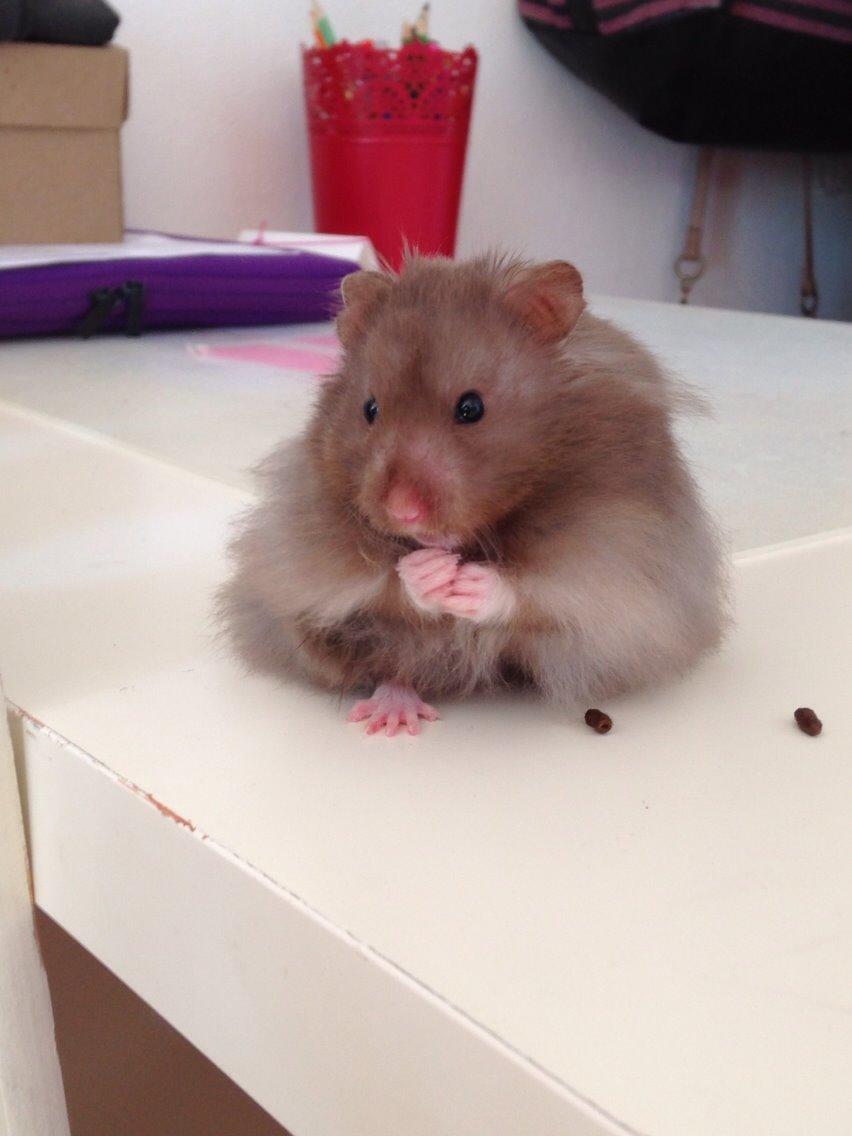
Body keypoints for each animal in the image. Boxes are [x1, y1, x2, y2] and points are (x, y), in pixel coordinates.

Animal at [219, 255, 727, 736]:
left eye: (472, 408)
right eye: (370, 409)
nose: (403, 511)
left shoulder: (614, 558)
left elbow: (539, 593)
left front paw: (466, 583)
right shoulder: (305, 554)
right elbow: (378, 584)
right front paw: (431, 573)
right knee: (394, 663)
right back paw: (391, 717)